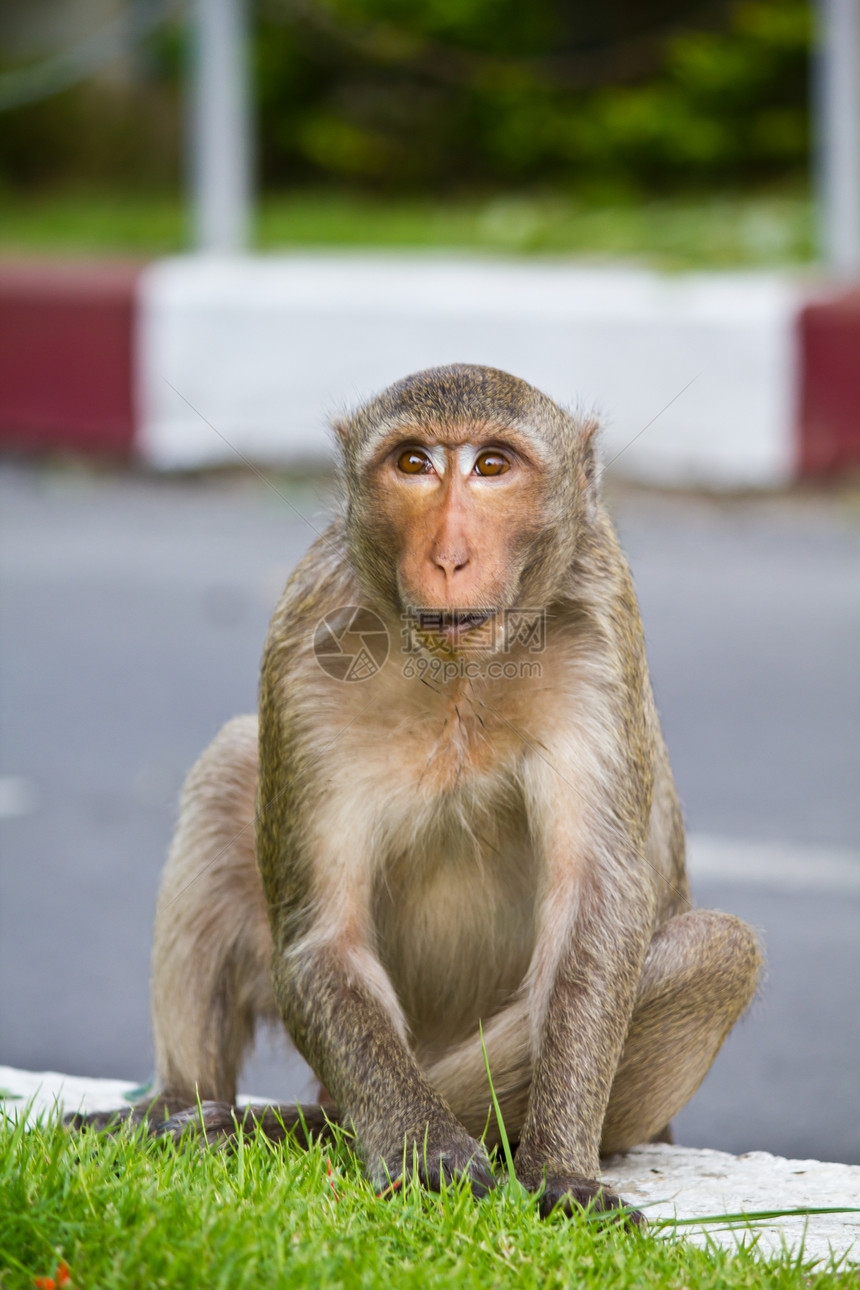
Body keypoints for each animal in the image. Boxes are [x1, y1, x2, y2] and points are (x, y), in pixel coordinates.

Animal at [74, 363, 758, 1217]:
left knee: (716, 949)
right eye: (413, 464)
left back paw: (285, 1128)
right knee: (231, 764)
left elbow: (593, 913)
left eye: (493, 466)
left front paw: (560, 1169)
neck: (460, 672)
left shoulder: (600, 630)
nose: (449, 557)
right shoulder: (304, 643)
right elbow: (322, 939)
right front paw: (424, 1147)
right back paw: (199, 1108)